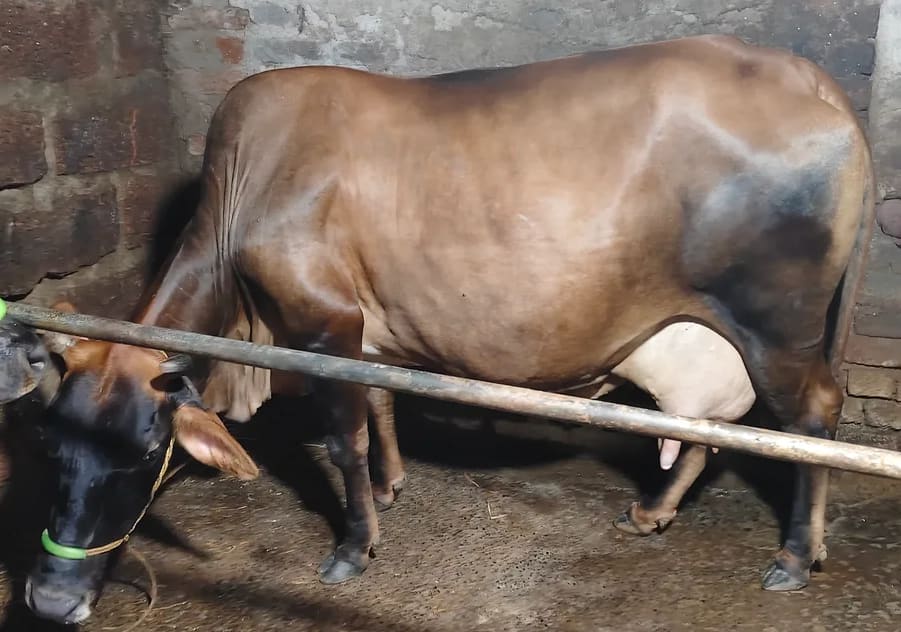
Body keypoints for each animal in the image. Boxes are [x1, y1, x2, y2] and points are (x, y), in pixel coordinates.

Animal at [24, 34, 873, 624]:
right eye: (53, 447)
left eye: (145, 453)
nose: (51, 602)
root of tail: (810, 80)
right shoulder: (365, 334)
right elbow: (381, 405)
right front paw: (390, 485)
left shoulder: (324, 324)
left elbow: (343, 437)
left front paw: (352, 546)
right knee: (707, 426)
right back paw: (651, 512)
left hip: (778, 329)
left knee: (809, 418)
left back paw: (794, 555)